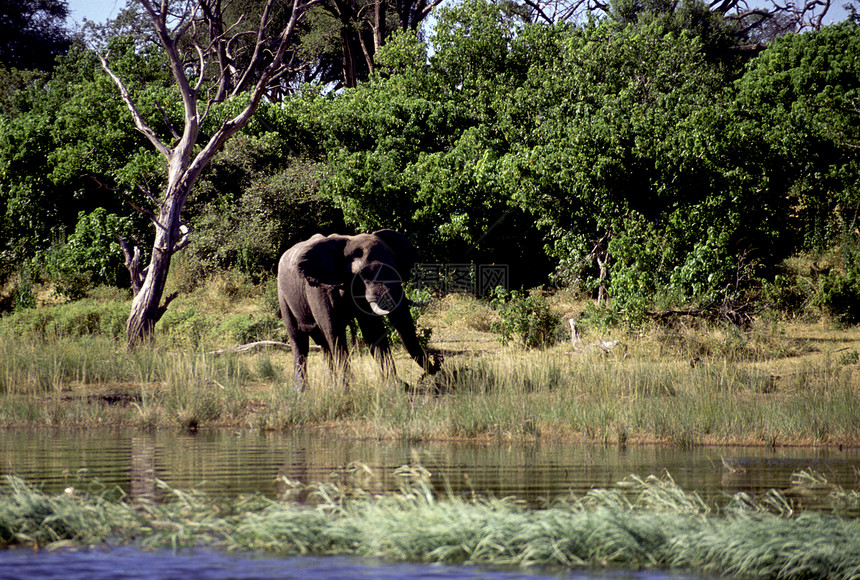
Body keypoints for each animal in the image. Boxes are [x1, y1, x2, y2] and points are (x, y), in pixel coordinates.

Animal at [278, 228, 440, 390]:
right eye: (363, 275)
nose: (436, 365)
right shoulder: (319, 290)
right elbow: (335, 332)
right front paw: (346, 390)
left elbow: (373, 332)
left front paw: (395, 387)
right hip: (282, 295)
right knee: (299, 340)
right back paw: (301, 390)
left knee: (323, 344)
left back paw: (330, 386)